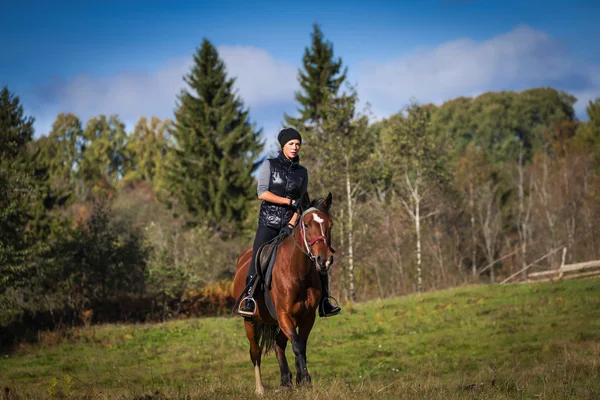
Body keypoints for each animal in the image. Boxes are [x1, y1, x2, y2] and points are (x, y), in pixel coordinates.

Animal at [233, 193, 338, 394]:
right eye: (306, 225)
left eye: (330, 225)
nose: (324, 260)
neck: (298, 272)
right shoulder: (284, 314)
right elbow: (297, 346)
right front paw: (305, 380)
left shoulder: (306, 316)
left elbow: (300, 345)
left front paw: (301, 381)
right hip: (250, 321)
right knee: (255, 352)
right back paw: (260, 389)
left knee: (278, 344)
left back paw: (285, 382)